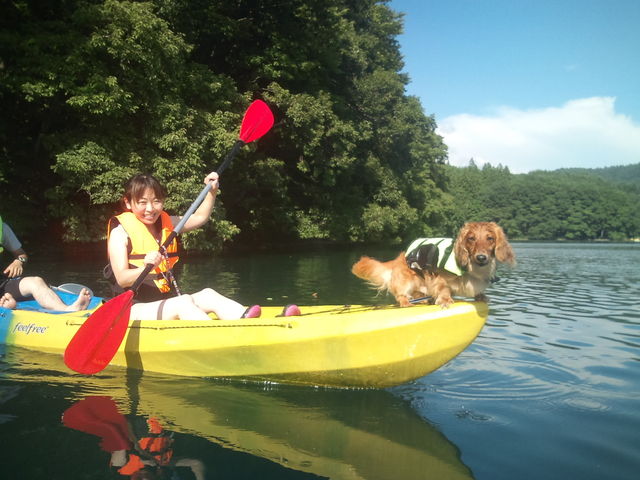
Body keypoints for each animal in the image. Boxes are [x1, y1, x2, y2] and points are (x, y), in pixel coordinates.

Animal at [351, 222, 516, 308]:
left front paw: (481, 296)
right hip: (407, 280)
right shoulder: (438, 276)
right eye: (471, 238)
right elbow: (443, 288)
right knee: (400, 295)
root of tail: (400, 256)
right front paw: (445, 300)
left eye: (490, 238)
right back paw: (407, 302)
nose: (481, 257)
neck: (472, 269)